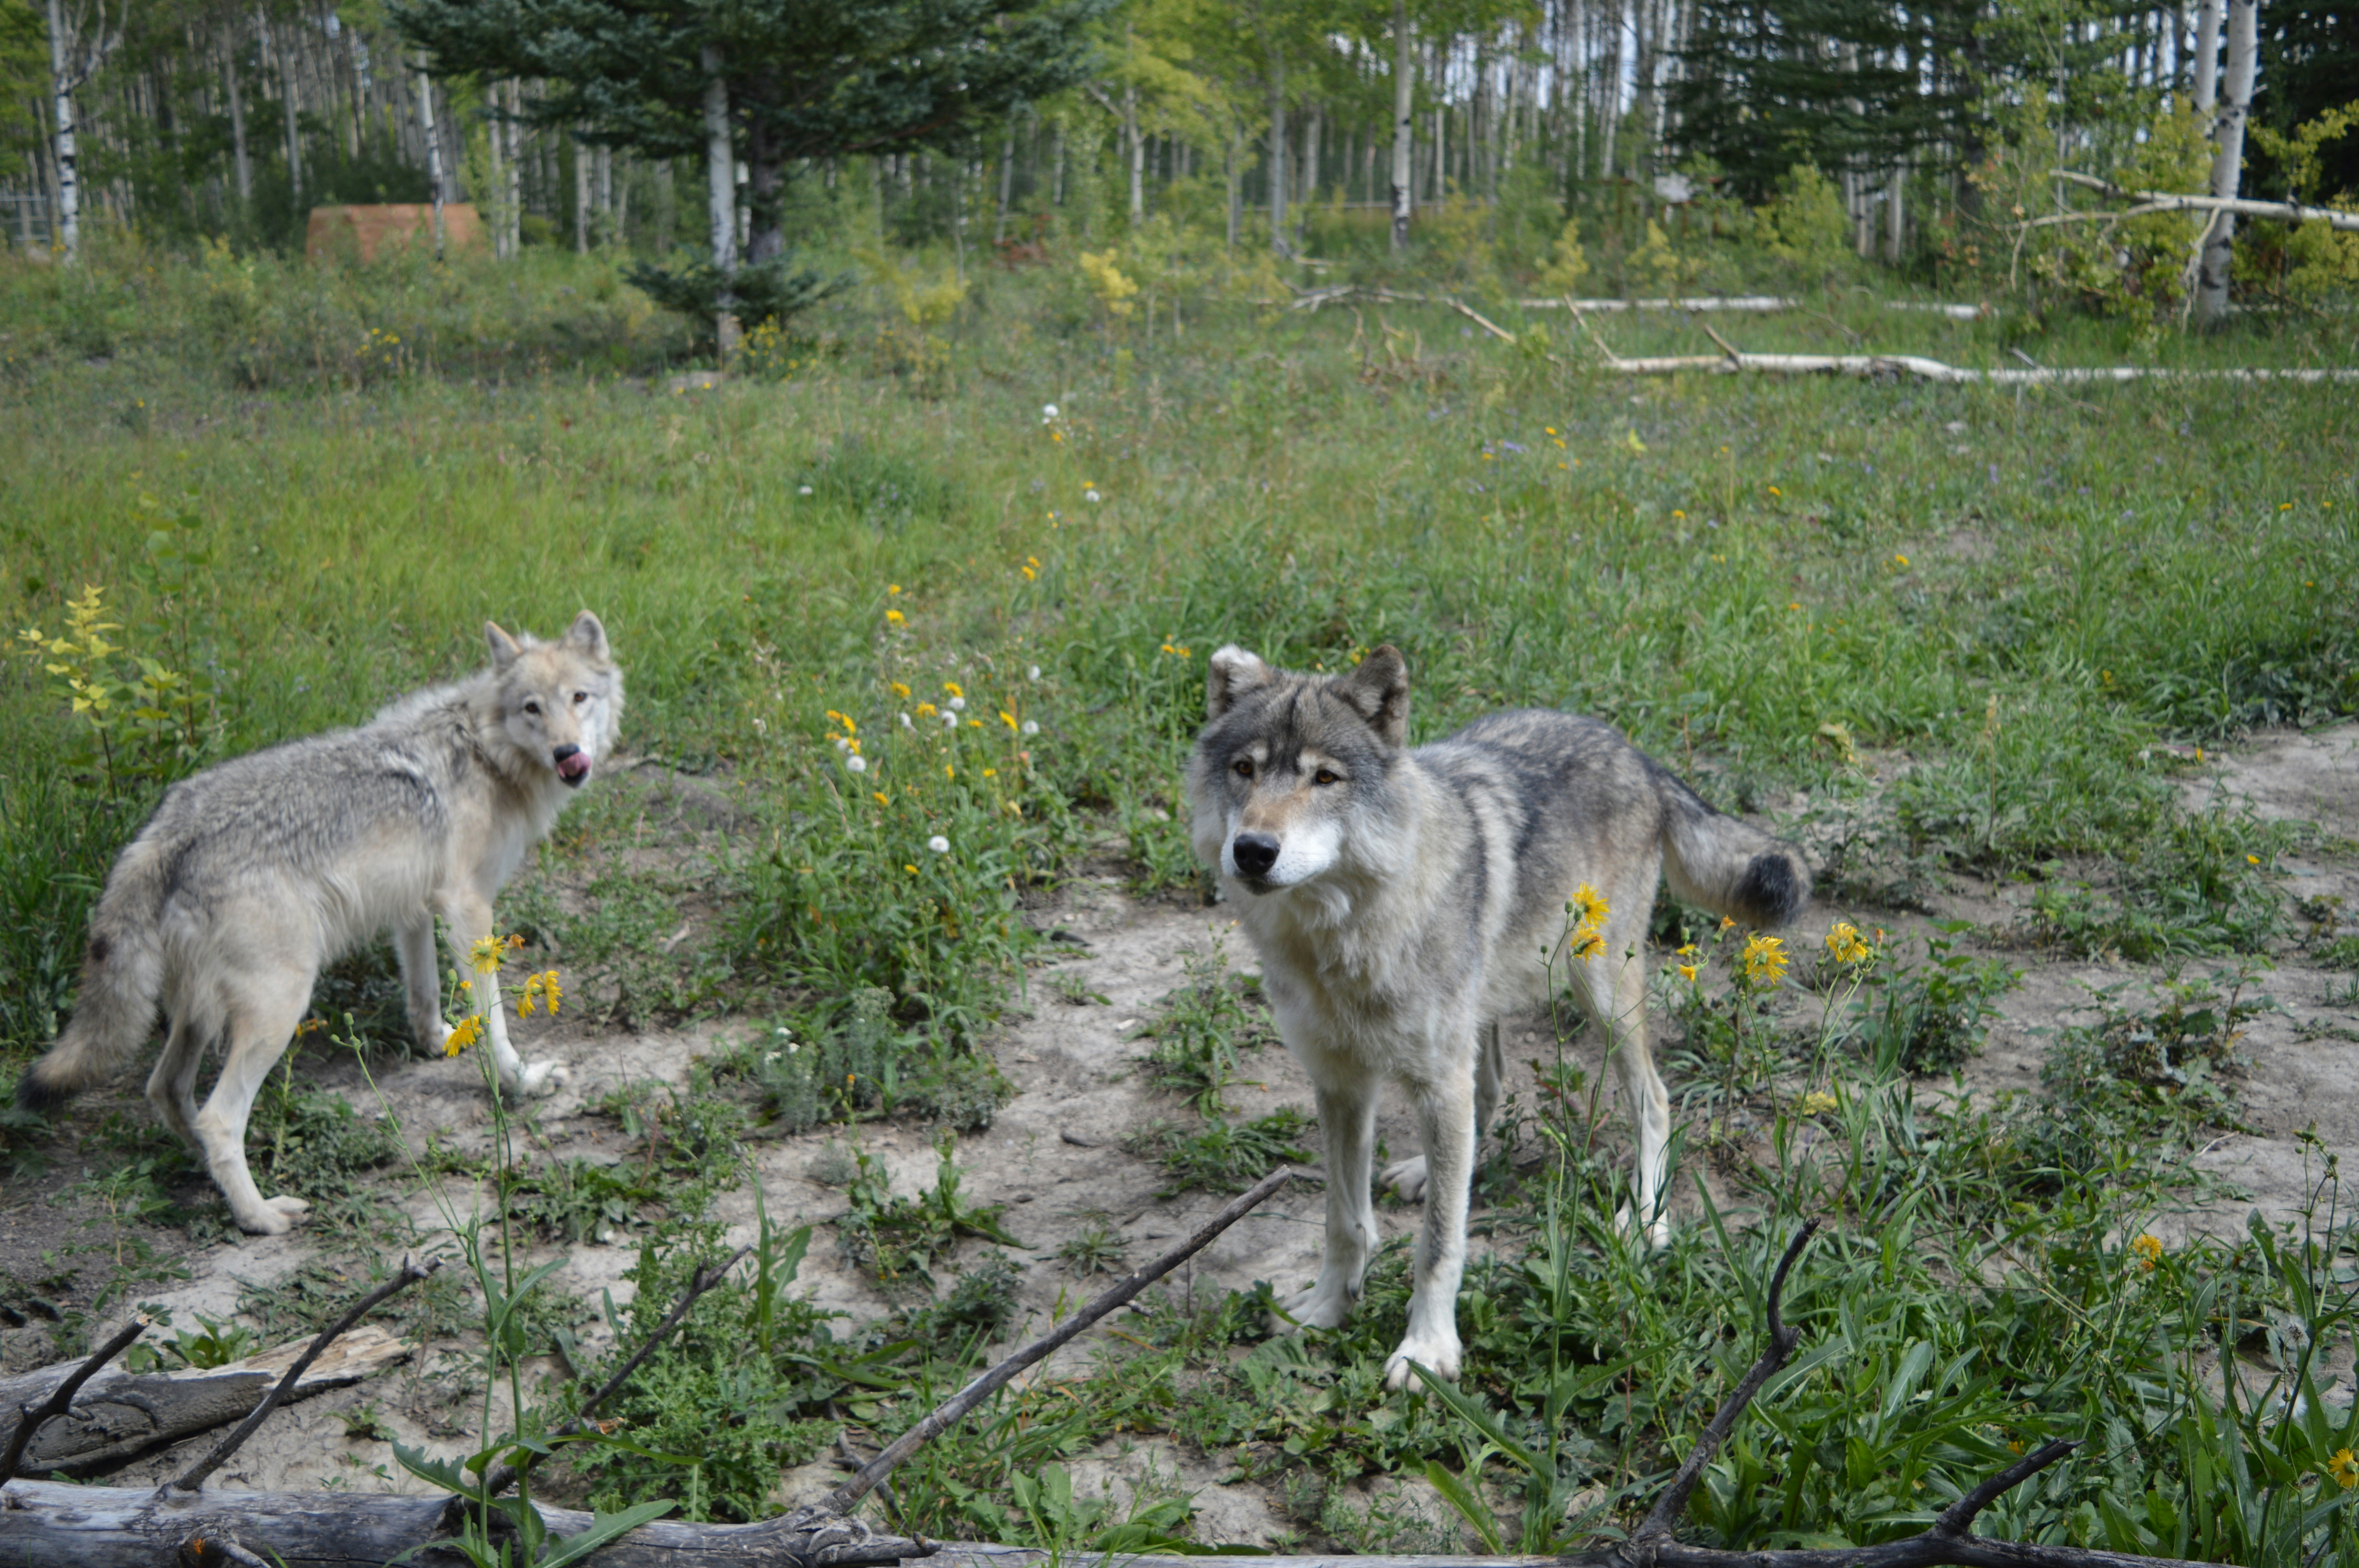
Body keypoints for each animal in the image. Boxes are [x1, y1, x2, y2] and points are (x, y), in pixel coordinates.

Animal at [16, 612, 623, 1235]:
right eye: (532, 708)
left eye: (579, 698)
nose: (568, 753)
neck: (483, 748)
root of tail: (165, 830)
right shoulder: (467, 907)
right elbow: (497, 1021)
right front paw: (521, 1081)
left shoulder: (415, 907)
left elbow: (425, 993)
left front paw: (440, 1042)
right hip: (279, 1008)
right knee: (217, 1118)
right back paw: (260, 1216)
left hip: (201, 1014)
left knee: (166, 1091)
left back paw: (212, 1175)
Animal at [1187, 644, 1808, 1389]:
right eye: (1244, 769)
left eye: (1325, 778)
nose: (1253, 850)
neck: (1340, 938)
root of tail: (1635, 753)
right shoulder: (1340, 1085)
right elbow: (1345, 1222)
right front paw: (1328, 1308)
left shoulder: (1429, 1081)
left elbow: (1438, 1246)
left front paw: (1427, 1351)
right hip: (1479, 1025)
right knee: (1487, 1093)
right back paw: (1429, 1172)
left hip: (1598, 994)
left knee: (1655, 1098)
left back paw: (1646, 1221)